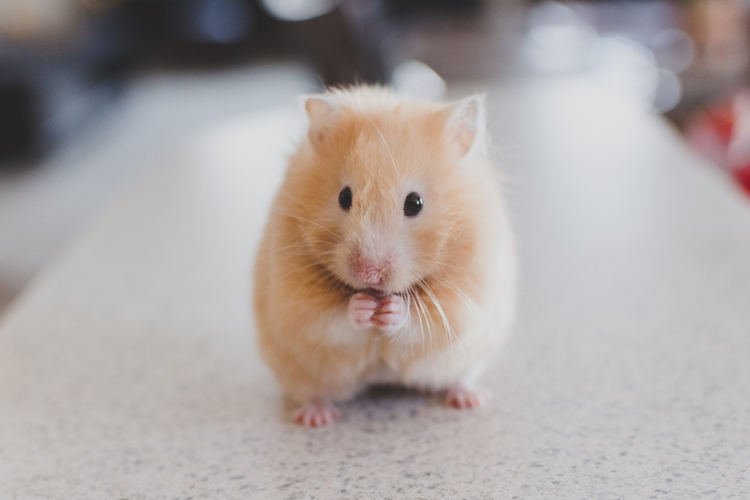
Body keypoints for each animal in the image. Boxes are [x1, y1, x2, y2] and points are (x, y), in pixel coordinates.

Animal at [253, 86, 517, 426]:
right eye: (344, 197)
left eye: (415, 203)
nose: (369, 274)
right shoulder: (294, 300)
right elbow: (329, 319)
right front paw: (363, 307)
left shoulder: (467, 298)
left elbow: (423, 320)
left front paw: (391, 310)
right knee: (312, 392)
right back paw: (316, 417)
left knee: (459, 378)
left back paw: (471, 399)